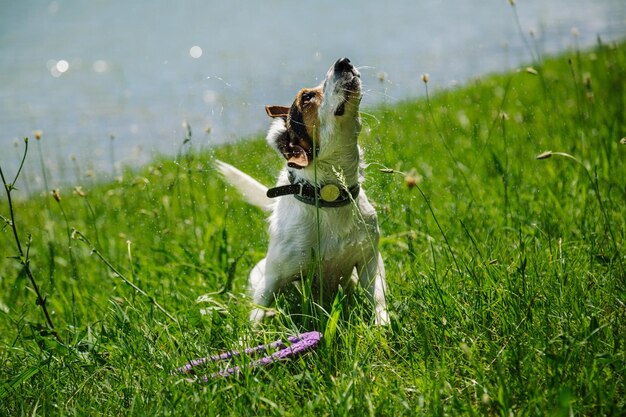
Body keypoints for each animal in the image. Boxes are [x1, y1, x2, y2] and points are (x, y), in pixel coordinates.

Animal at [217, 57, 388, 324]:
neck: (327, 194)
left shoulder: (370, 260)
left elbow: (379, 301)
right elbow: (256, 316)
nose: (343, 61)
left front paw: (383, 328)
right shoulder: (271, 280)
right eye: (307, 97)